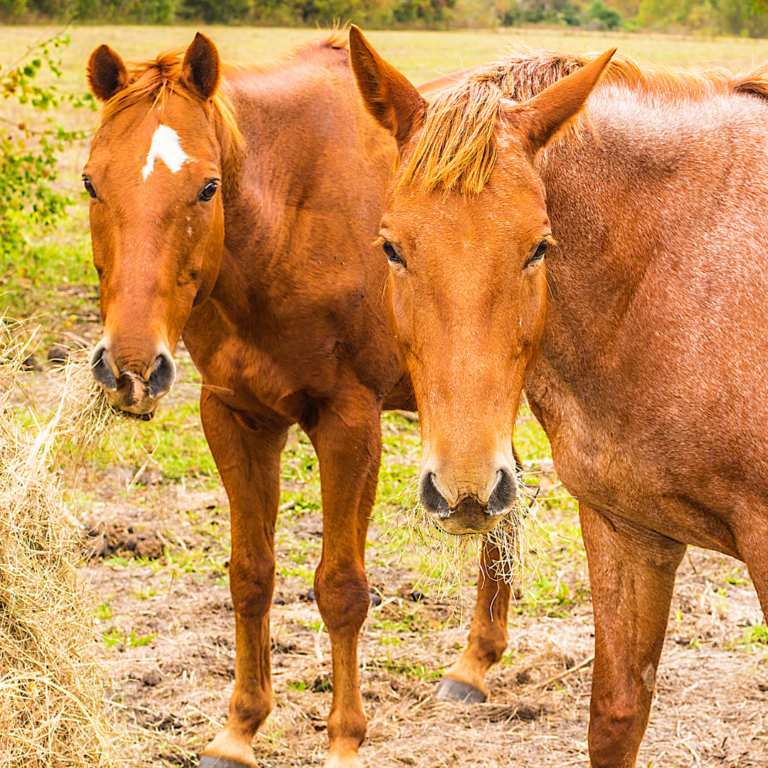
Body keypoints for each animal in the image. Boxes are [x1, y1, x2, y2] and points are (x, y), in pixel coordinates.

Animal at [83, 32, 500, 768]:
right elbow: (249, 576)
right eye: (90, 182)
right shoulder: (236, 416)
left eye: (207, 187)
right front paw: (239, 730)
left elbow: (341, 589)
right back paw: (475, 665)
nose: (131, 368)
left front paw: (344, 739)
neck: (286, 223)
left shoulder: (348, 425)